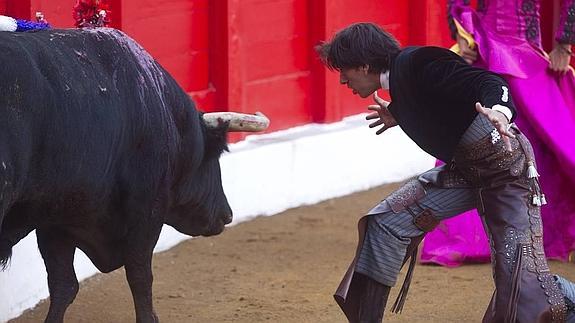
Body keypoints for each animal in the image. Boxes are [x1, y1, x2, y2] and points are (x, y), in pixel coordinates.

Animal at [0, 29, 236, 322]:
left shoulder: (55, 219)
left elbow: (63, 284)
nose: (227, 215)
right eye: (214, 158)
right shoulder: (147, 212)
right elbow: (139, 276)